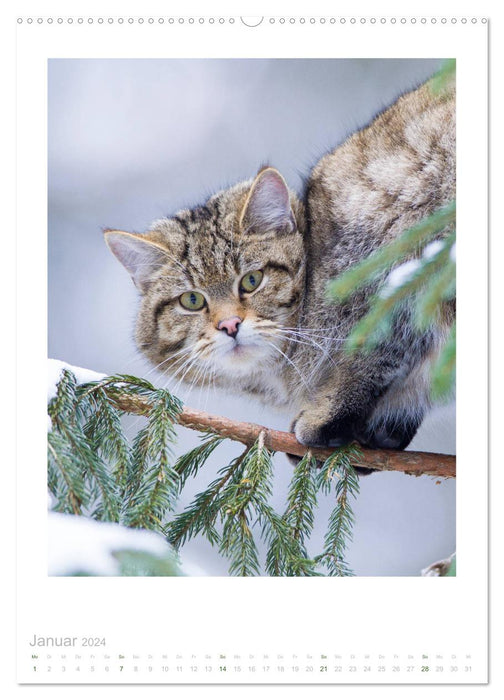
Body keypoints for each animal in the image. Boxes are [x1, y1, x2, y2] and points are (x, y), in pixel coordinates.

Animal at [104, 78, 454, 460]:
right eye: (192, 300)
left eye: (252, 280)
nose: (230, 325)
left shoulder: (395, 262)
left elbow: (371, 355)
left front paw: (328, 417)